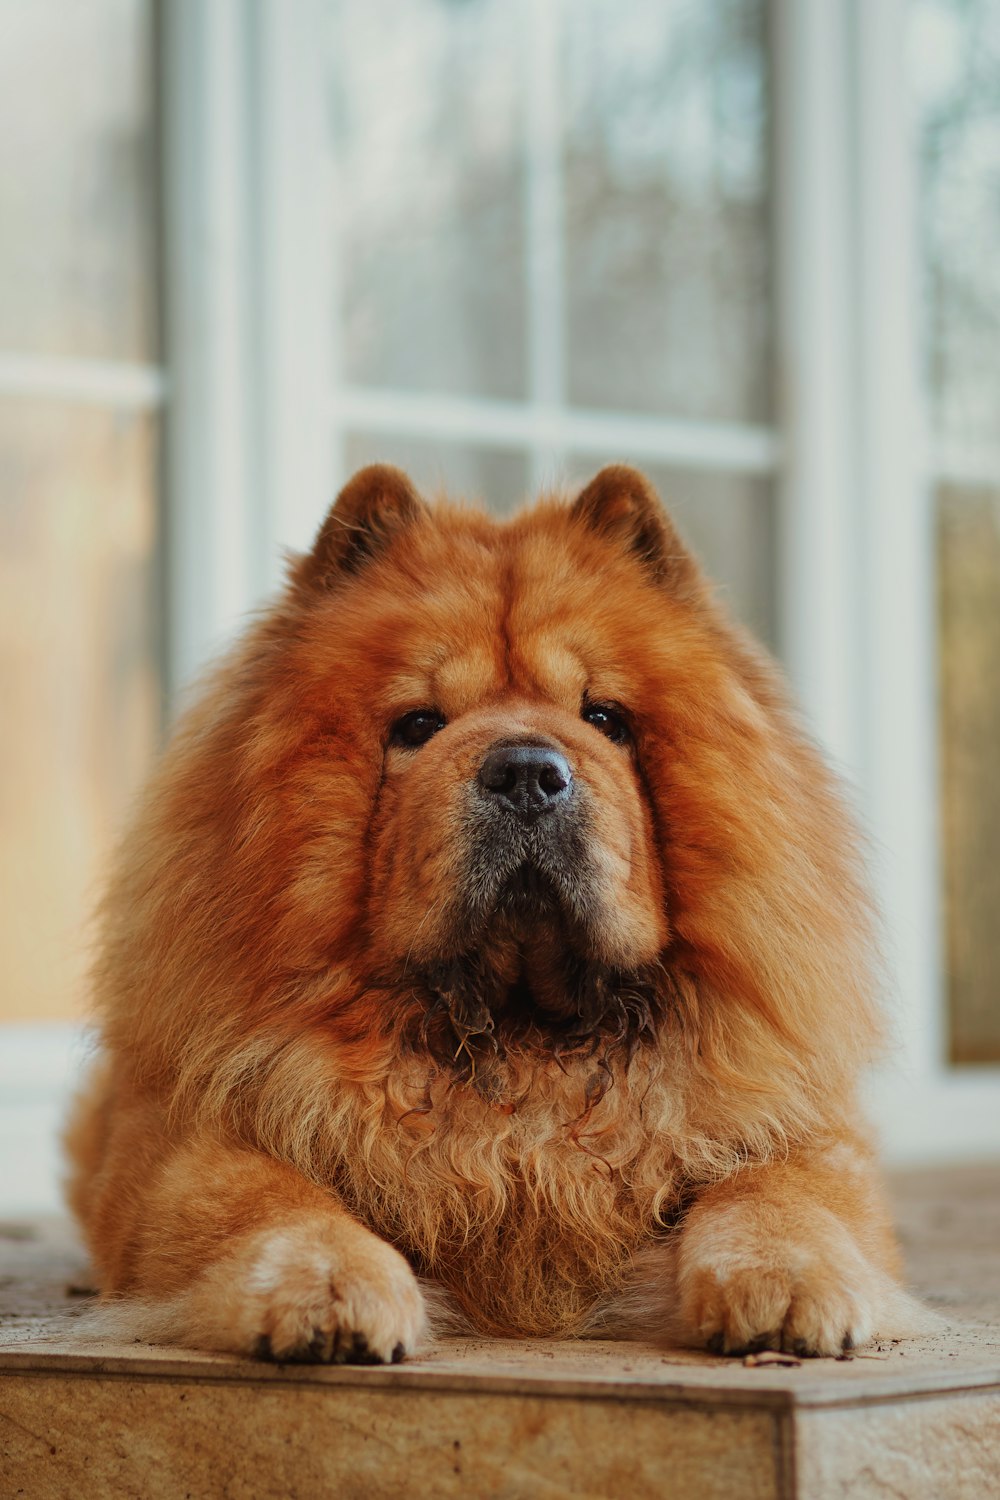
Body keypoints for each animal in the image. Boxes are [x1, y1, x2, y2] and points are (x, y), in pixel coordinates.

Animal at [62, 465, 923, 1362]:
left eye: (604, 719)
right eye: (418, 724)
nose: (526, 773)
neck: (519, 1040)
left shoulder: (799, 1131)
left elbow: (773, 1191)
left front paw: (788, 1284)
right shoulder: (196, 1143)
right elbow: (269, 1204)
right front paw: (330, 1292)